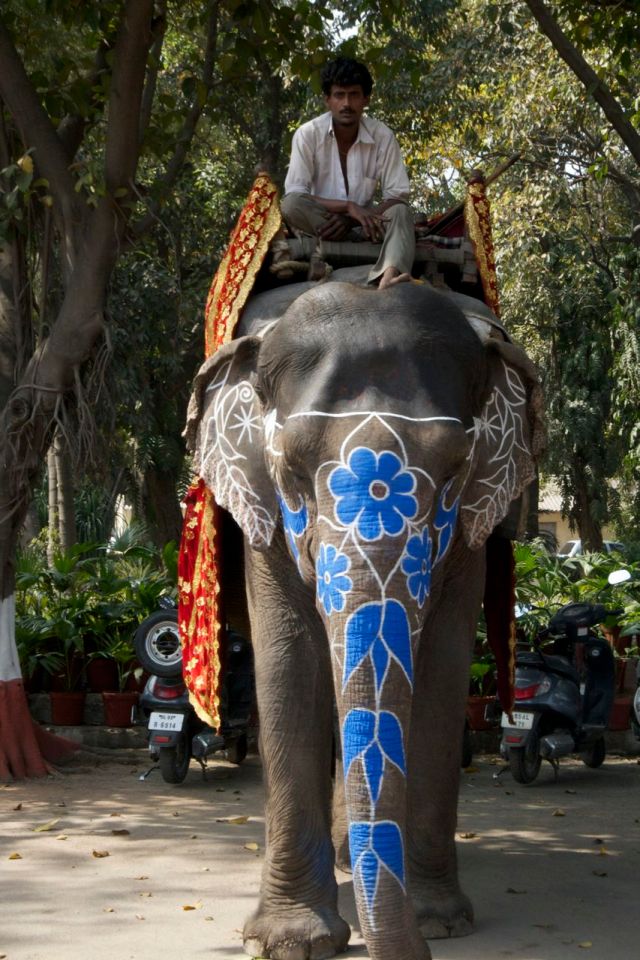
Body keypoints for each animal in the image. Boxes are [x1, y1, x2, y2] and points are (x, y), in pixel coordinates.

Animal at [185, 269, 544, 960]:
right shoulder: (261, 522)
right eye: (291, 469)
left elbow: (441, 672)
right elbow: (288, 664)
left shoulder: (470, 535)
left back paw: (355, 858)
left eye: (457, 469)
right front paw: (291, 942)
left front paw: (440, 921)